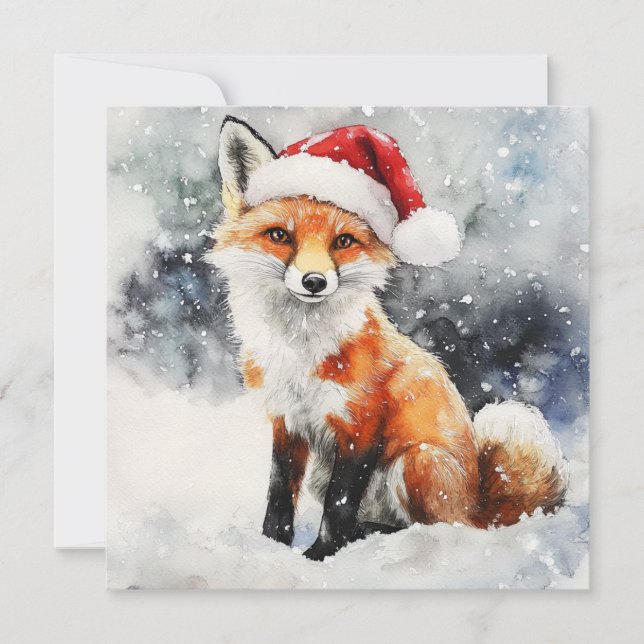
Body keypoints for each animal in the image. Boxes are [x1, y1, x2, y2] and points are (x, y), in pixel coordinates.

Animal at [207, 116, 569, 561]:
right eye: (280, 236)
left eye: (343, 242)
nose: (314, 281)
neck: (301, 350)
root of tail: (478, 503)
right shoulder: (287, 422)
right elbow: (278, 493)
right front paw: (270, 546)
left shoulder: (361, 427)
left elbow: (339, 505)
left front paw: (321, 556)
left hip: (416, 462)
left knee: (434, 527)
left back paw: (378, 537)